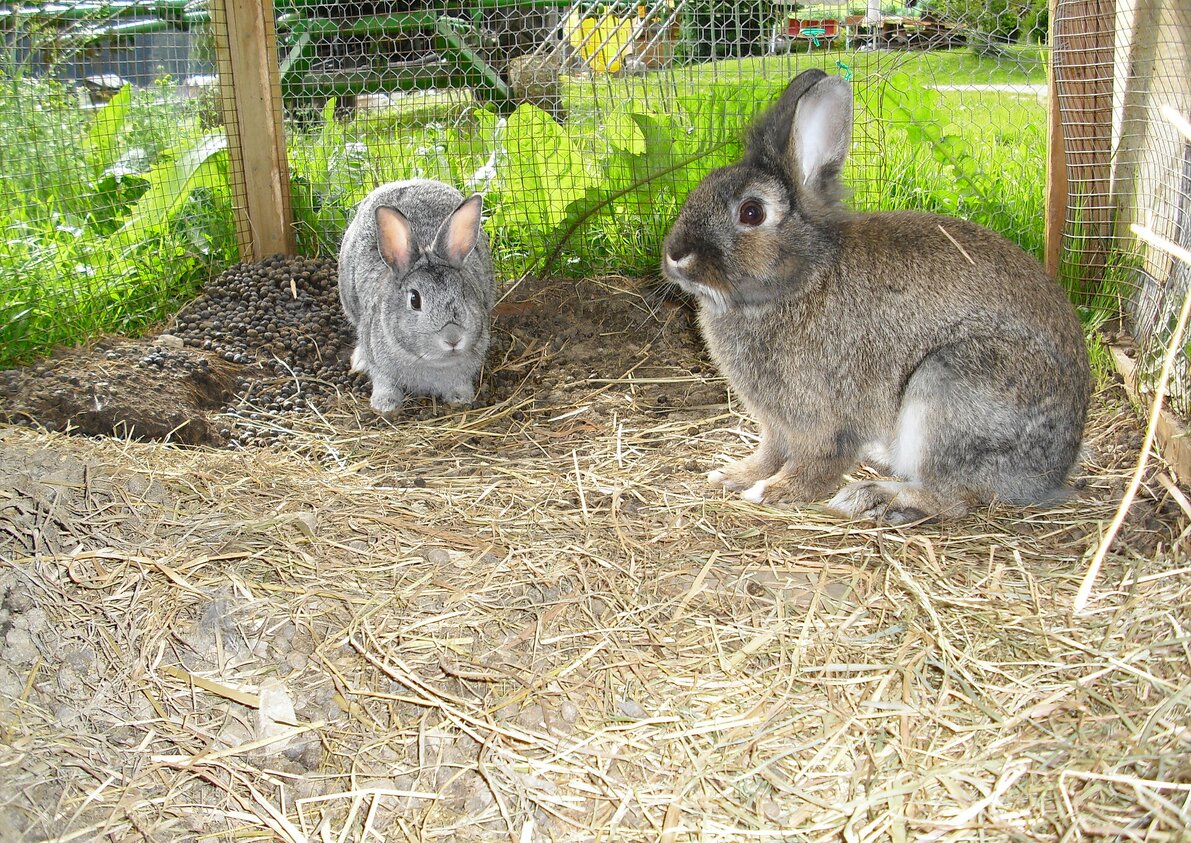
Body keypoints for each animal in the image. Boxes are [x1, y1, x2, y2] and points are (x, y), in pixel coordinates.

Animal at [338, 179, 495, 414]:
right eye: (415, 300)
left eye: (463, 291)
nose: (453, 338)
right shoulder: (379, 361)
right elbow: (383, 381)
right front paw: (385, 404)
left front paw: (460, 398)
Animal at [661, 69, 1091, 524]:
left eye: (751, 213)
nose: (675, 255)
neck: (804, 277)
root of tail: (1051, 474)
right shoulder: (776, 423)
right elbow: (770, 452)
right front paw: (733, 475)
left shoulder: (824, 419)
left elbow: (817, 461)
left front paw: (774, 491)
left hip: (953, 387)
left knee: (955, 497)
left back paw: (875, 496)